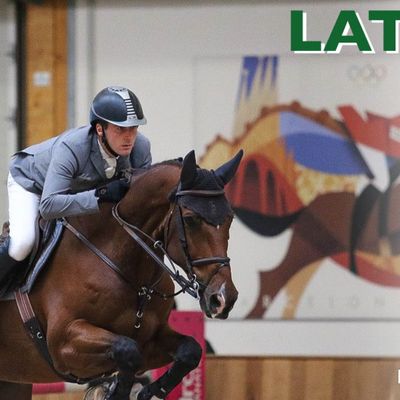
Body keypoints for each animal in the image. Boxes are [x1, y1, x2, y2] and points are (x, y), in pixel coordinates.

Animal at [0, 149, 243, 400]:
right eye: (190, 219)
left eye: (230, 218)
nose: (223, 298)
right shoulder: (63, 342)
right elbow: (127, 350)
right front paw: (114, 391)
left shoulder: (151, 340)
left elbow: (190, 350)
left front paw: (149, 392)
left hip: (13, 381)